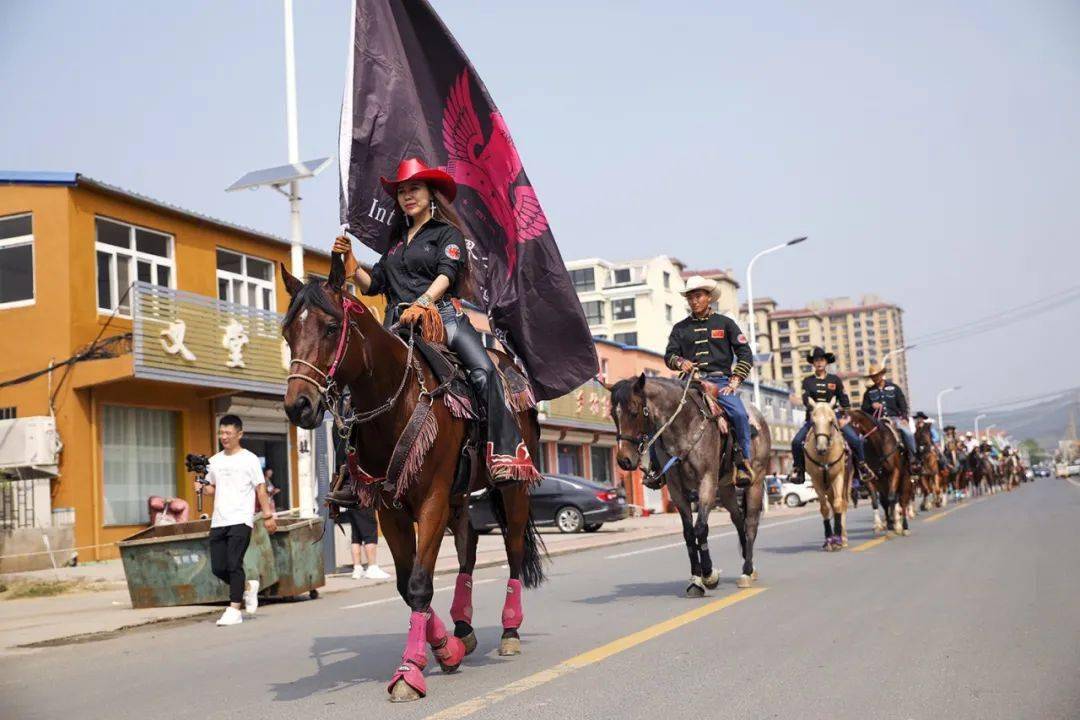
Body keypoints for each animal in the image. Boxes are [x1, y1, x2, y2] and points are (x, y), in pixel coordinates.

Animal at [280, 260, 548, 703]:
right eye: (288, 333)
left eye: (332, 327)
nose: (298, 405)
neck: (395, 399)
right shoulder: (389, 508)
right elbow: (407, 586)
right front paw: (446, 648)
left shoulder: (432, 499)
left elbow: (421, 583)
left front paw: (411, 670)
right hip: (460, 496)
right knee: (468, 549)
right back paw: (463, 628)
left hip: (510, 488)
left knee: (512, 549)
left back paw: (509, 631)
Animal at [609, 375, 777, 595]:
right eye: (613, 414)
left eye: (634, 411)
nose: (624, 460)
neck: (683, 426)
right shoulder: (676, 489)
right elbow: (688, 533)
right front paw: (696, 579)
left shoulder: (706, 481)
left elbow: (700, 528)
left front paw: (709, 574)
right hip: (725, 488)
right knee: (738, 519)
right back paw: (748, 563)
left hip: (755, 481)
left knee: (750, 523)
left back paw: (747, 572)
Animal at [803, 399, 851, 552]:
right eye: (813, 423)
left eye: (831, 422)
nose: (821, 448)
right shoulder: (816, 480)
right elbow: (824, 508)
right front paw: (829, 540)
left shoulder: (838, 477)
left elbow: (837, 504)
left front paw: (838, 540)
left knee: (842, 503)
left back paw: (843, 537)